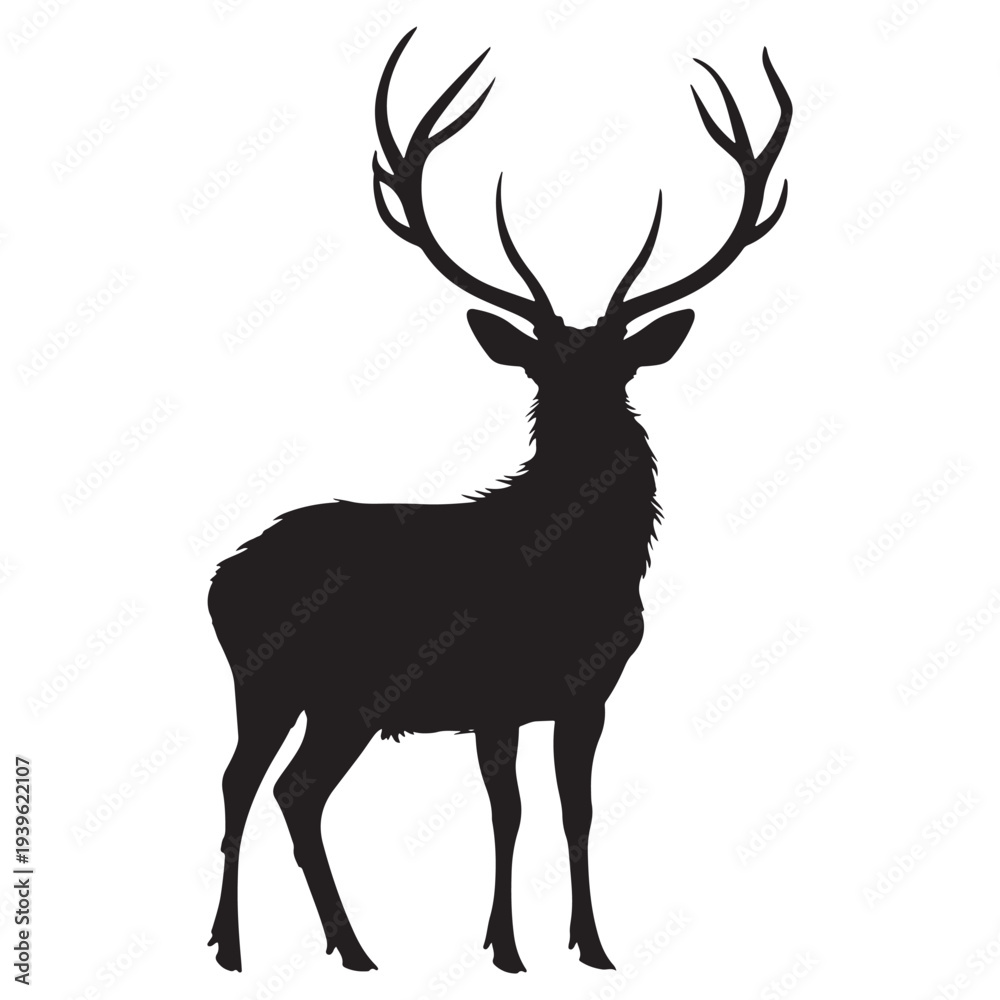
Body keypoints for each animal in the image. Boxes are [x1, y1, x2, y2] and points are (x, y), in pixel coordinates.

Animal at [207, 27, 791, 976]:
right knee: (260, 786)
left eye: (619, 368)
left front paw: (591, 947)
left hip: (312, 698)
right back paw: (274, 947)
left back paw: (311, 945)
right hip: (286, 683)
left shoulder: (584, 694)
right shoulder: (493, 691)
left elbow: (575, 812)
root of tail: (221, 578)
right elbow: (507, 816)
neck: (579, 574)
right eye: (543, 370)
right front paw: (508, 949)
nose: (586, 422)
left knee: (275, 789)